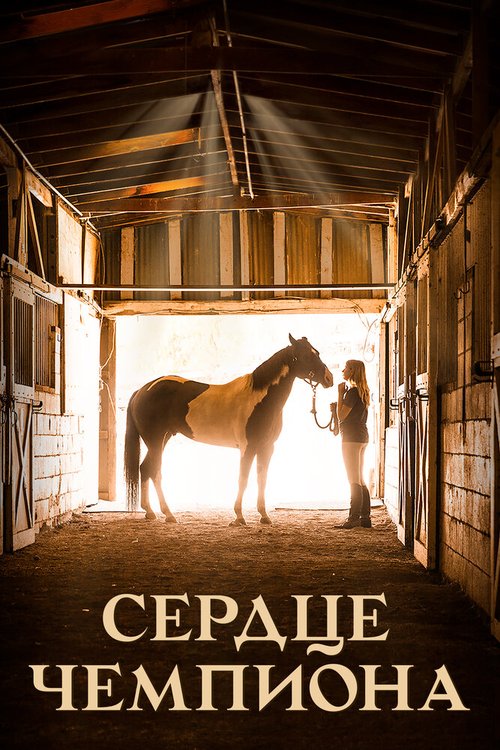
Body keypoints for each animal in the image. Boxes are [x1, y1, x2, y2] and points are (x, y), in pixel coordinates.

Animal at [124, 334, 333, 525]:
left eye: (316, 352)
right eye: (306, 355)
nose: (329, 378)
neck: (259, 399)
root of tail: (141, 390)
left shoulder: (267, 447)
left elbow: (261, 479)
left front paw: (264, 515)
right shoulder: (247, 447)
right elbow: (243, 478)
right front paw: (239, 517)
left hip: (162, 439)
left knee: (146, 468)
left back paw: (150, 512)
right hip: (155, 441)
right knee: (155, 471)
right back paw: (168, 514)